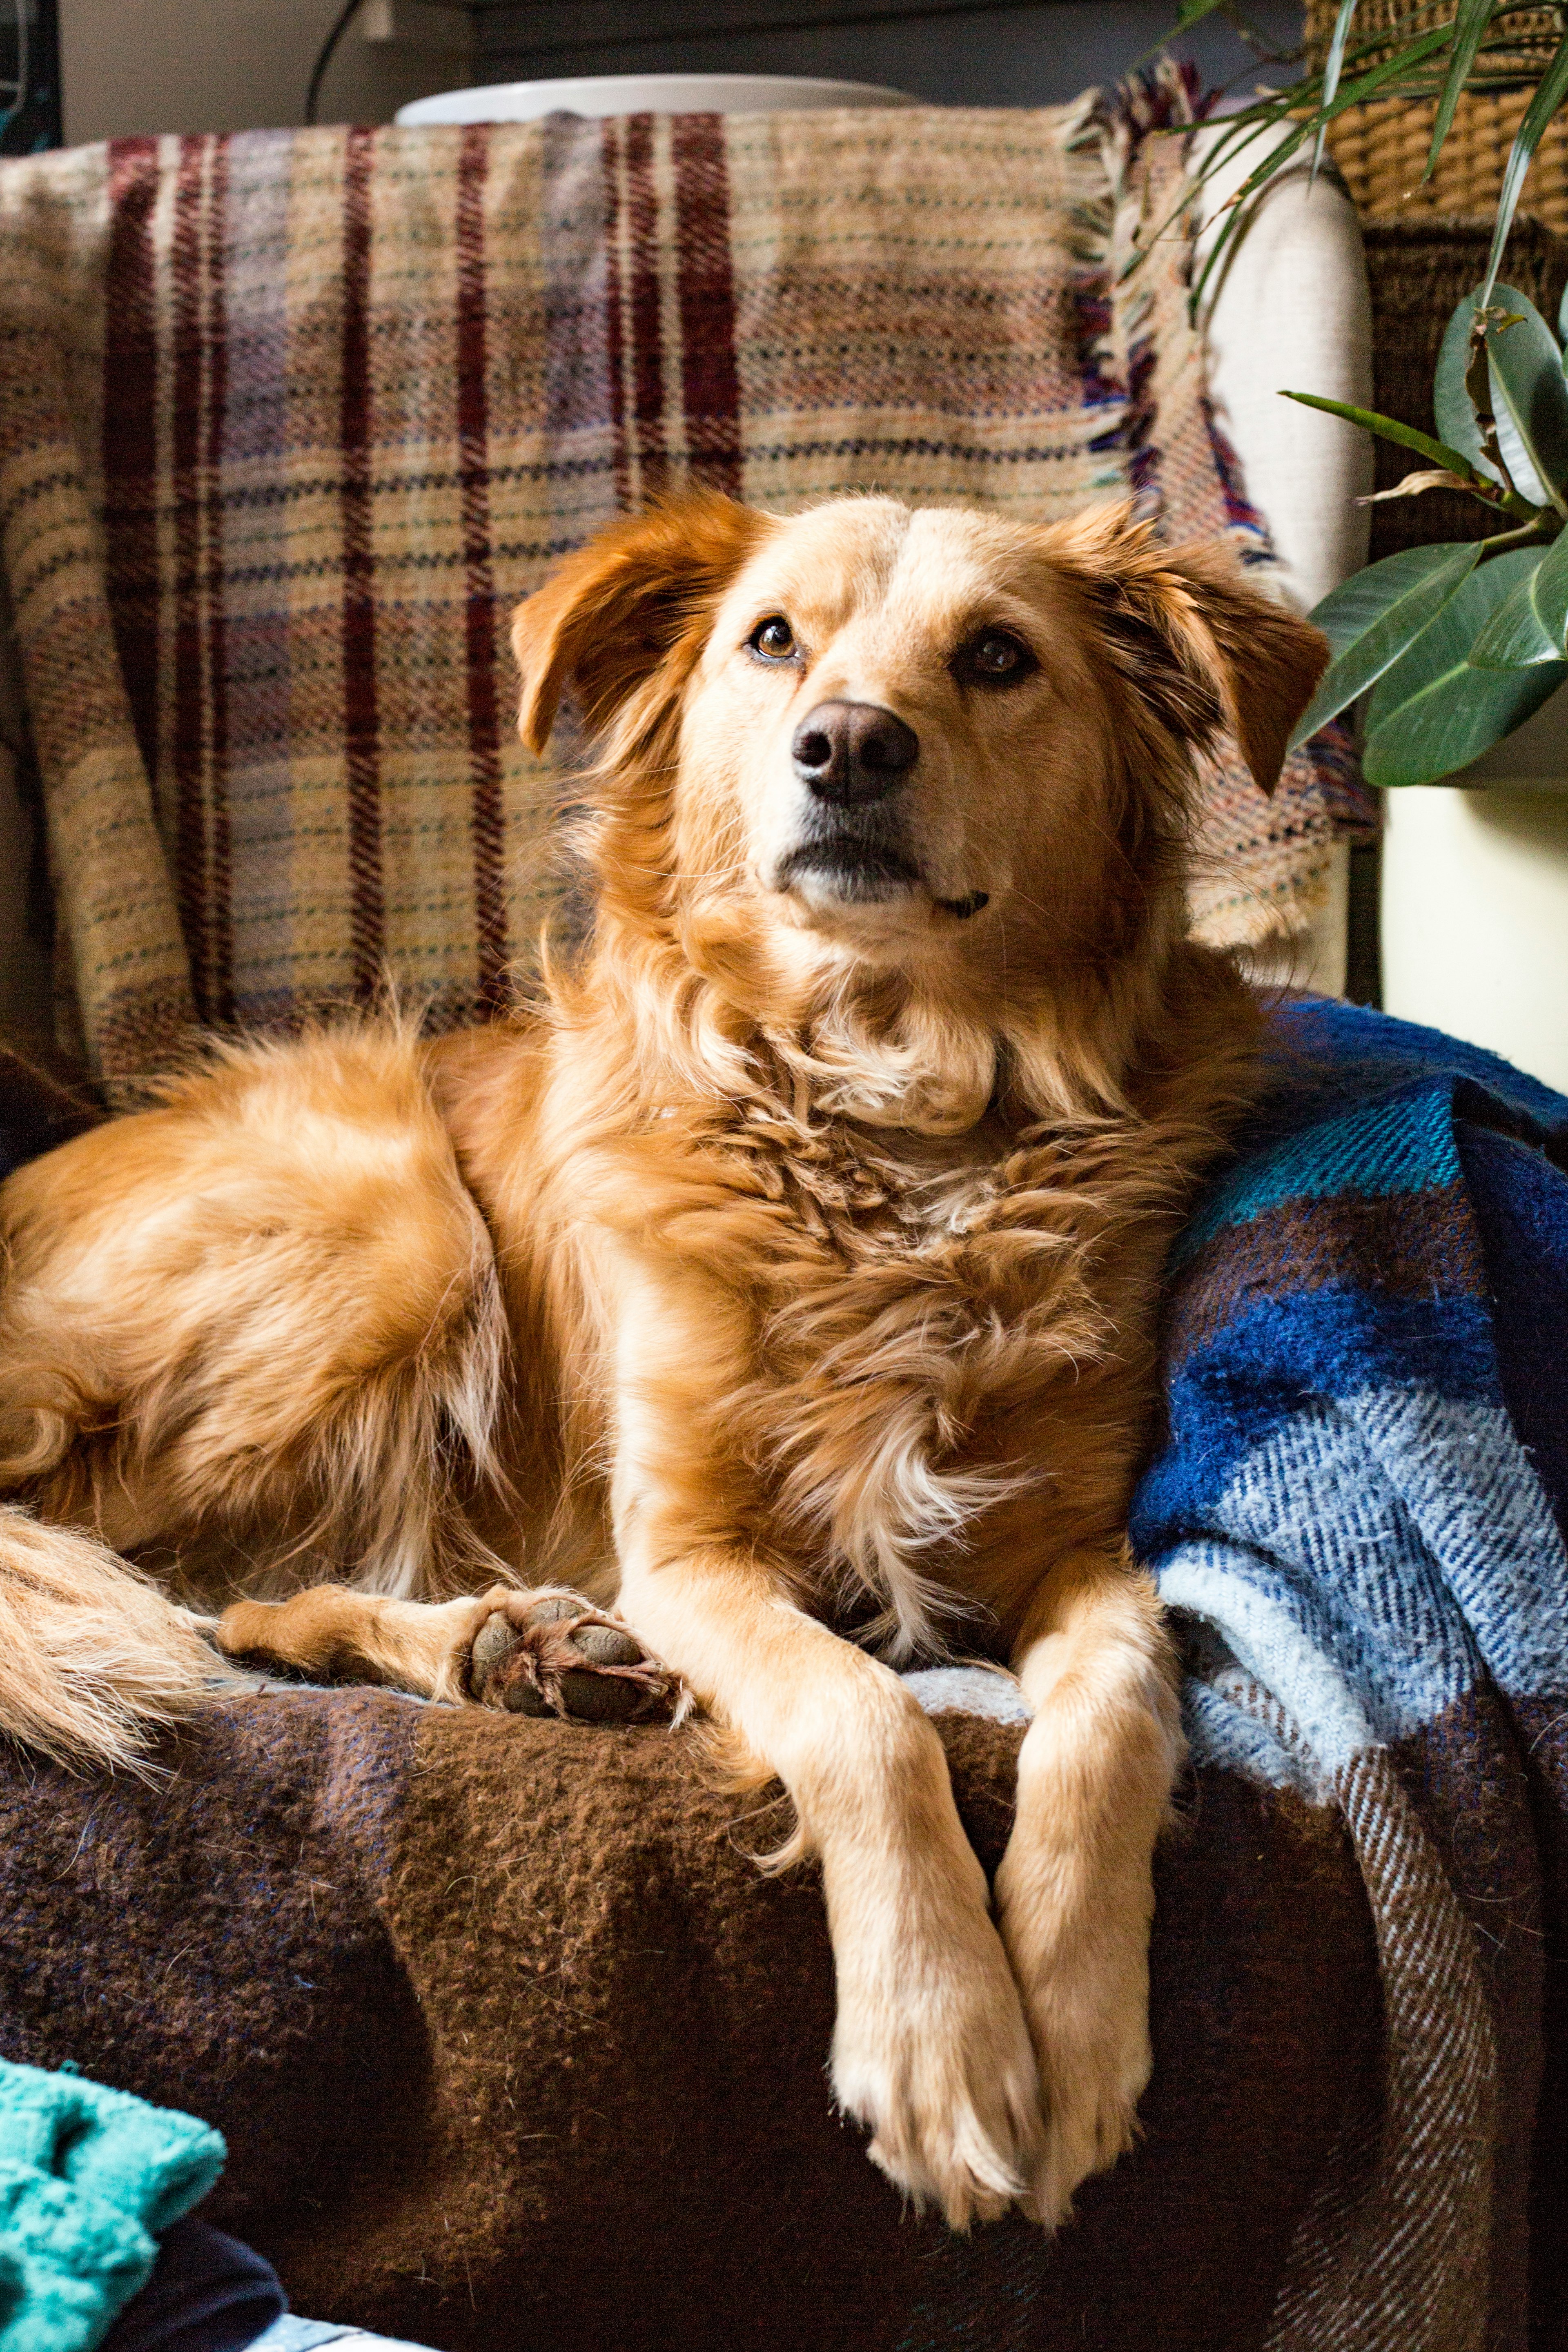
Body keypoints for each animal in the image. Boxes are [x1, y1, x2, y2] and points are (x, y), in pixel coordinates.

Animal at [0, 491, 1326, 2220]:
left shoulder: (1071, 1544)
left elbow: (1118, 1706)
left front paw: (1081, 2021)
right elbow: (867, 1714)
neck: (889, 1128)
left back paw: (510, 1652)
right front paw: (940, 2040)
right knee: (139, 1571)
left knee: (234, 1604)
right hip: (393, 1219)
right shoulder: (686, 1550)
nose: (847, 742)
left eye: (997, 656)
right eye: (772, 640)